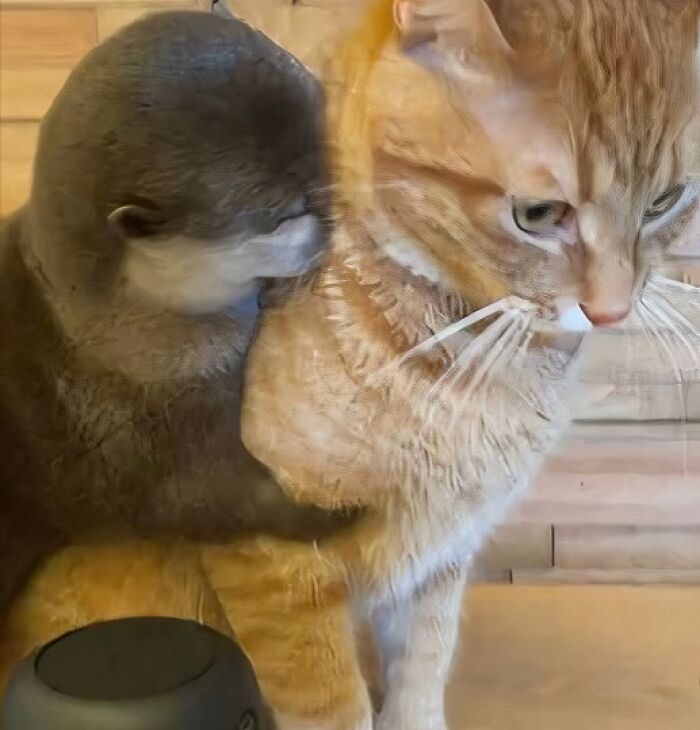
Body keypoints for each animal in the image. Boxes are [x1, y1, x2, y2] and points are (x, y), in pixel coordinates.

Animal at [0, 11, 355, 622]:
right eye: (281, 215)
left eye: (326, 143)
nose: (340, 200)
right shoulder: (159, 447)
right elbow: (220, 504)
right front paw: (347, 510)